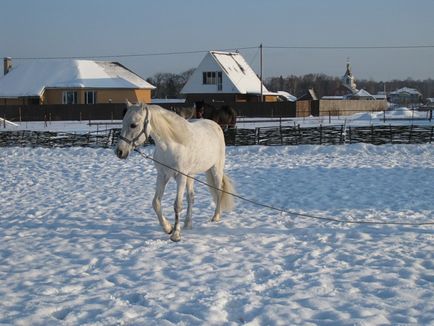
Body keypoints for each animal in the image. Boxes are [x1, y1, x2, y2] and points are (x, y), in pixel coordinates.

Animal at [115, 102, 234, 242]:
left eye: (134, 124)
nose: (119, 152)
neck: (171, 145)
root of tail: (216, 126)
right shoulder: (162, 175)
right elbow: (156, 203)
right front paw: (168, 228)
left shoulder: (180, 177)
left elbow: (177, 205)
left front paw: (176, 234)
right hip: (191, 175)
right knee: (191, 197)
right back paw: (188, 224)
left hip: (216, 169)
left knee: (218, 191)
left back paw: (216, 217)